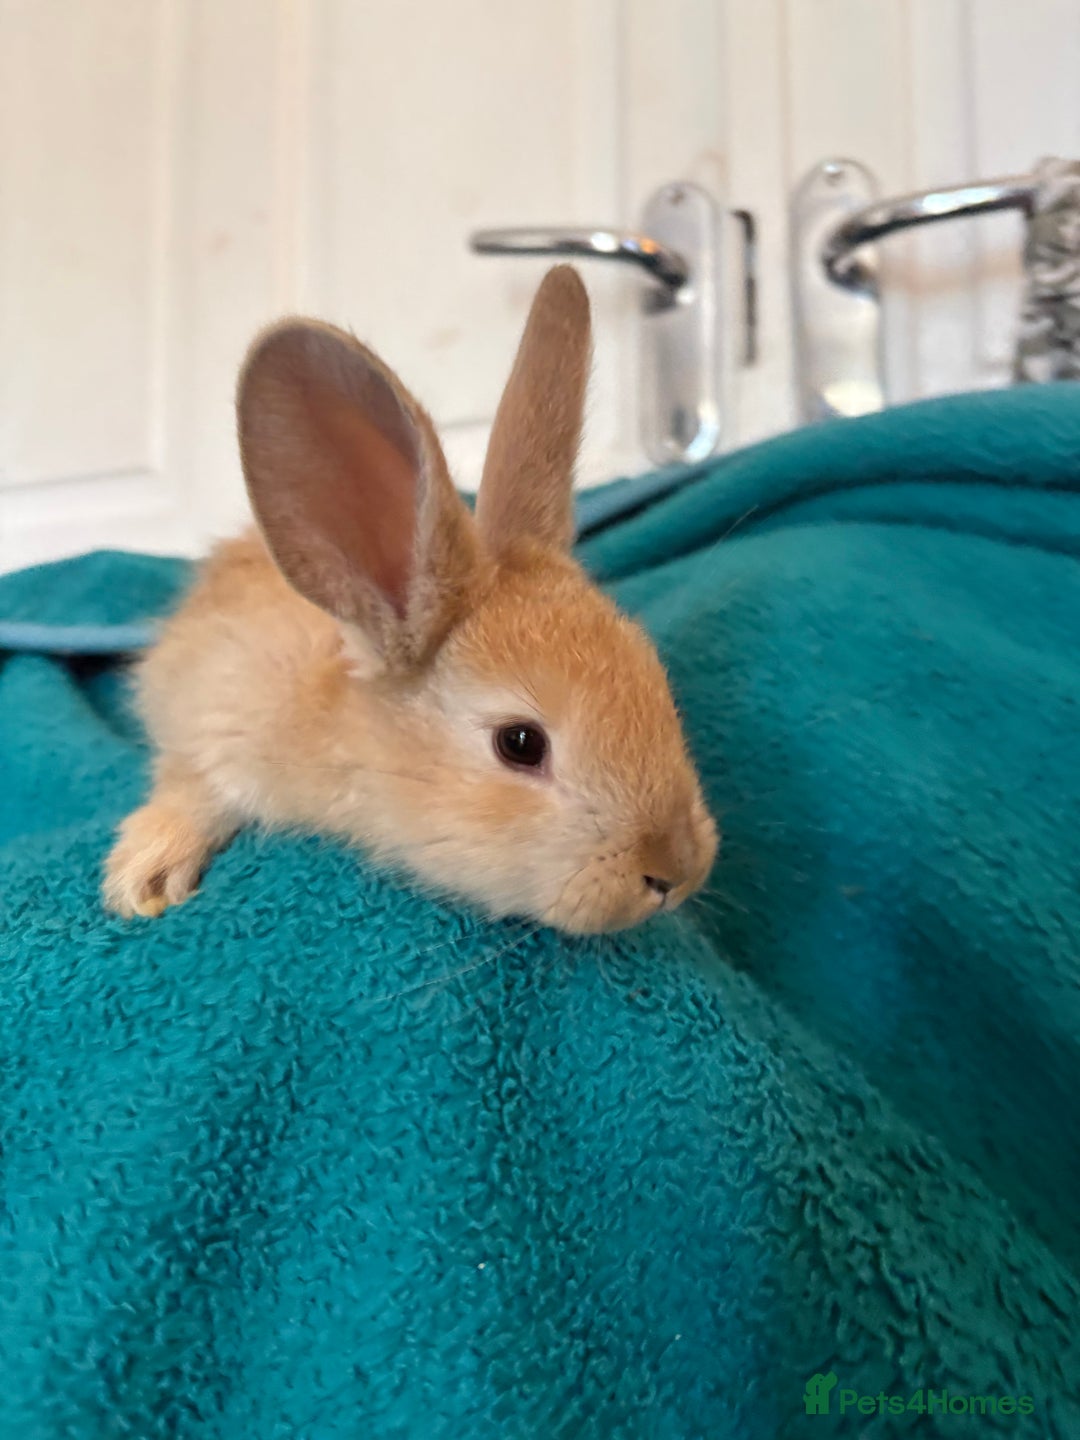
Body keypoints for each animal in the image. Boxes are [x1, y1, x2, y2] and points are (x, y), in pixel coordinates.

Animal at [103, 266, 717, 934]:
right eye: (520, 744)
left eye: (656, 679)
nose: (674, 870)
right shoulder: (208, 715)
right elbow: (189, 783)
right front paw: (145, 872)